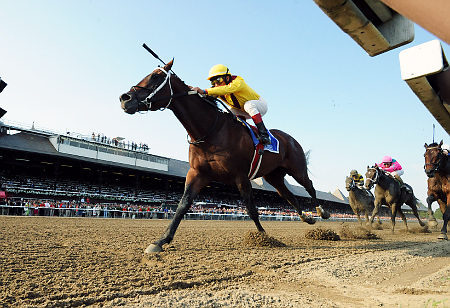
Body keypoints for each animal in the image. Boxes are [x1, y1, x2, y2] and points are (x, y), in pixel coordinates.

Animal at [119, 60, 330, 253]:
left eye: (156, 76)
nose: (124, 98)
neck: (210, 131)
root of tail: (291, 139)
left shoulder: (240, 176)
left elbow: (251, 209)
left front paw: (264, 237)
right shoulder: (197, 173)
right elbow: (182, 205)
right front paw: (161, 240)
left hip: (297, 168)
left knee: (309, 186)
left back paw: (322, 212)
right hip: (274, 176)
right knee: (288, 195)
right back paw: (307, 217)